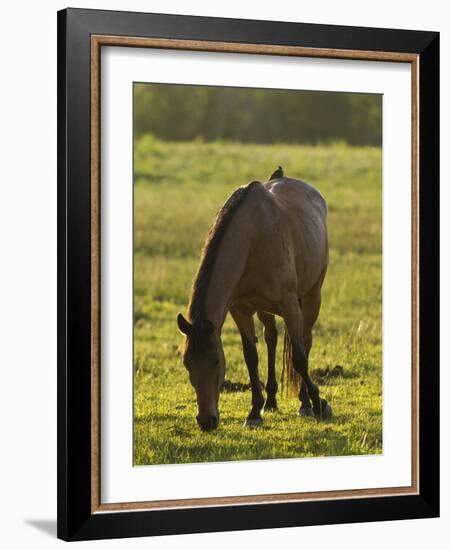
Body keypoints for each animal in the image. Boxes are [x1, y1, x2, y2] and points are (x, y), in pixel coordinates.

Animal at [177, 166, 332, 434]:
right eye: (187, 363)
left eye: (216, 360)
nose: (206, 421)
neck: (252, 240)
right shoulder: (241, 310)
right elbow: (251, 357)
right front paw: (254, 412)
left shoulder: (290, 307)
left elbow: (300, 358)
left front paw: (319, 403)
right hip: (264, 309)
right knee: (271, 338)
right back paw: (270, 401)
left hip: (312, 295)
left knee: (305, 341)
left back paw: (305, 403)